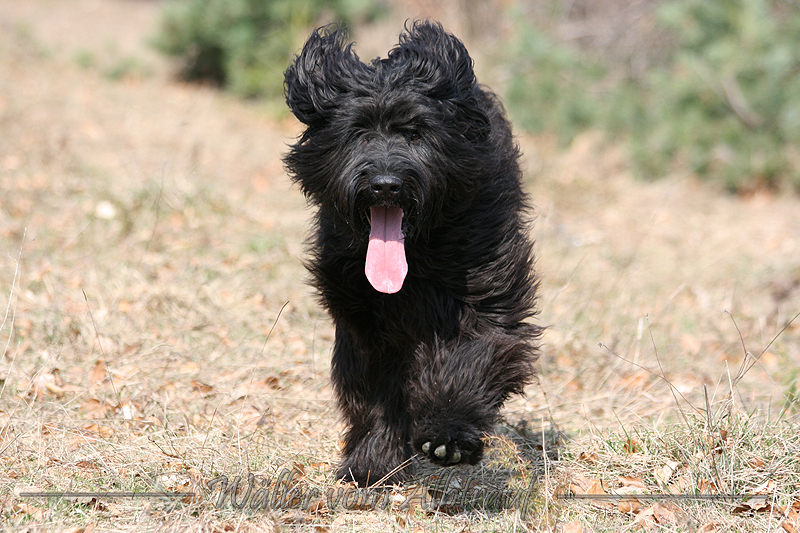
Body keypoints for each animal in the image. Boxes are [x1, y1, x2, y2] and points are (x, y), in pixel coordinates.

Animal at [283, 21, 541, 487]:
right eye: (359, 132)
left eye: (416, 132)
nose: (386, 184)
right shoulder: (366, 319)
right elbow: (378, 387)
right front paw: (372, 460)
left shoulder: (484, 294)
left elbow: (469, 355)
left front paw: (448, 436)